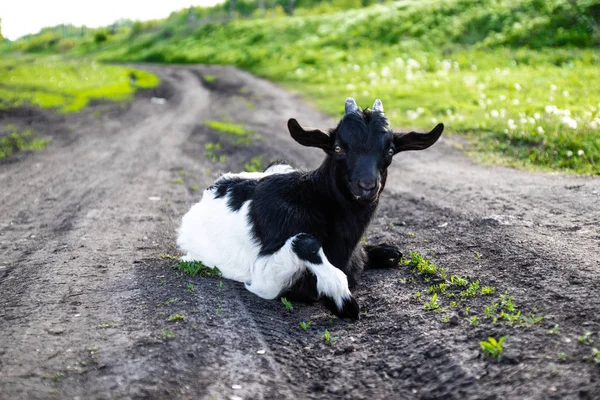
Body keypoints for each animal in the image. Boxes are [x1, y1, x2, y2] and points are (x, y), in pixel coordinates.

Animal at [176, 98, 442, 320]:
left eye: (390, 150)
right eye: (338, 148)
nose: (366, 185)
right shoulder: (264, 280)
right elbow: (304, 242)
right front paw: (342, 300)